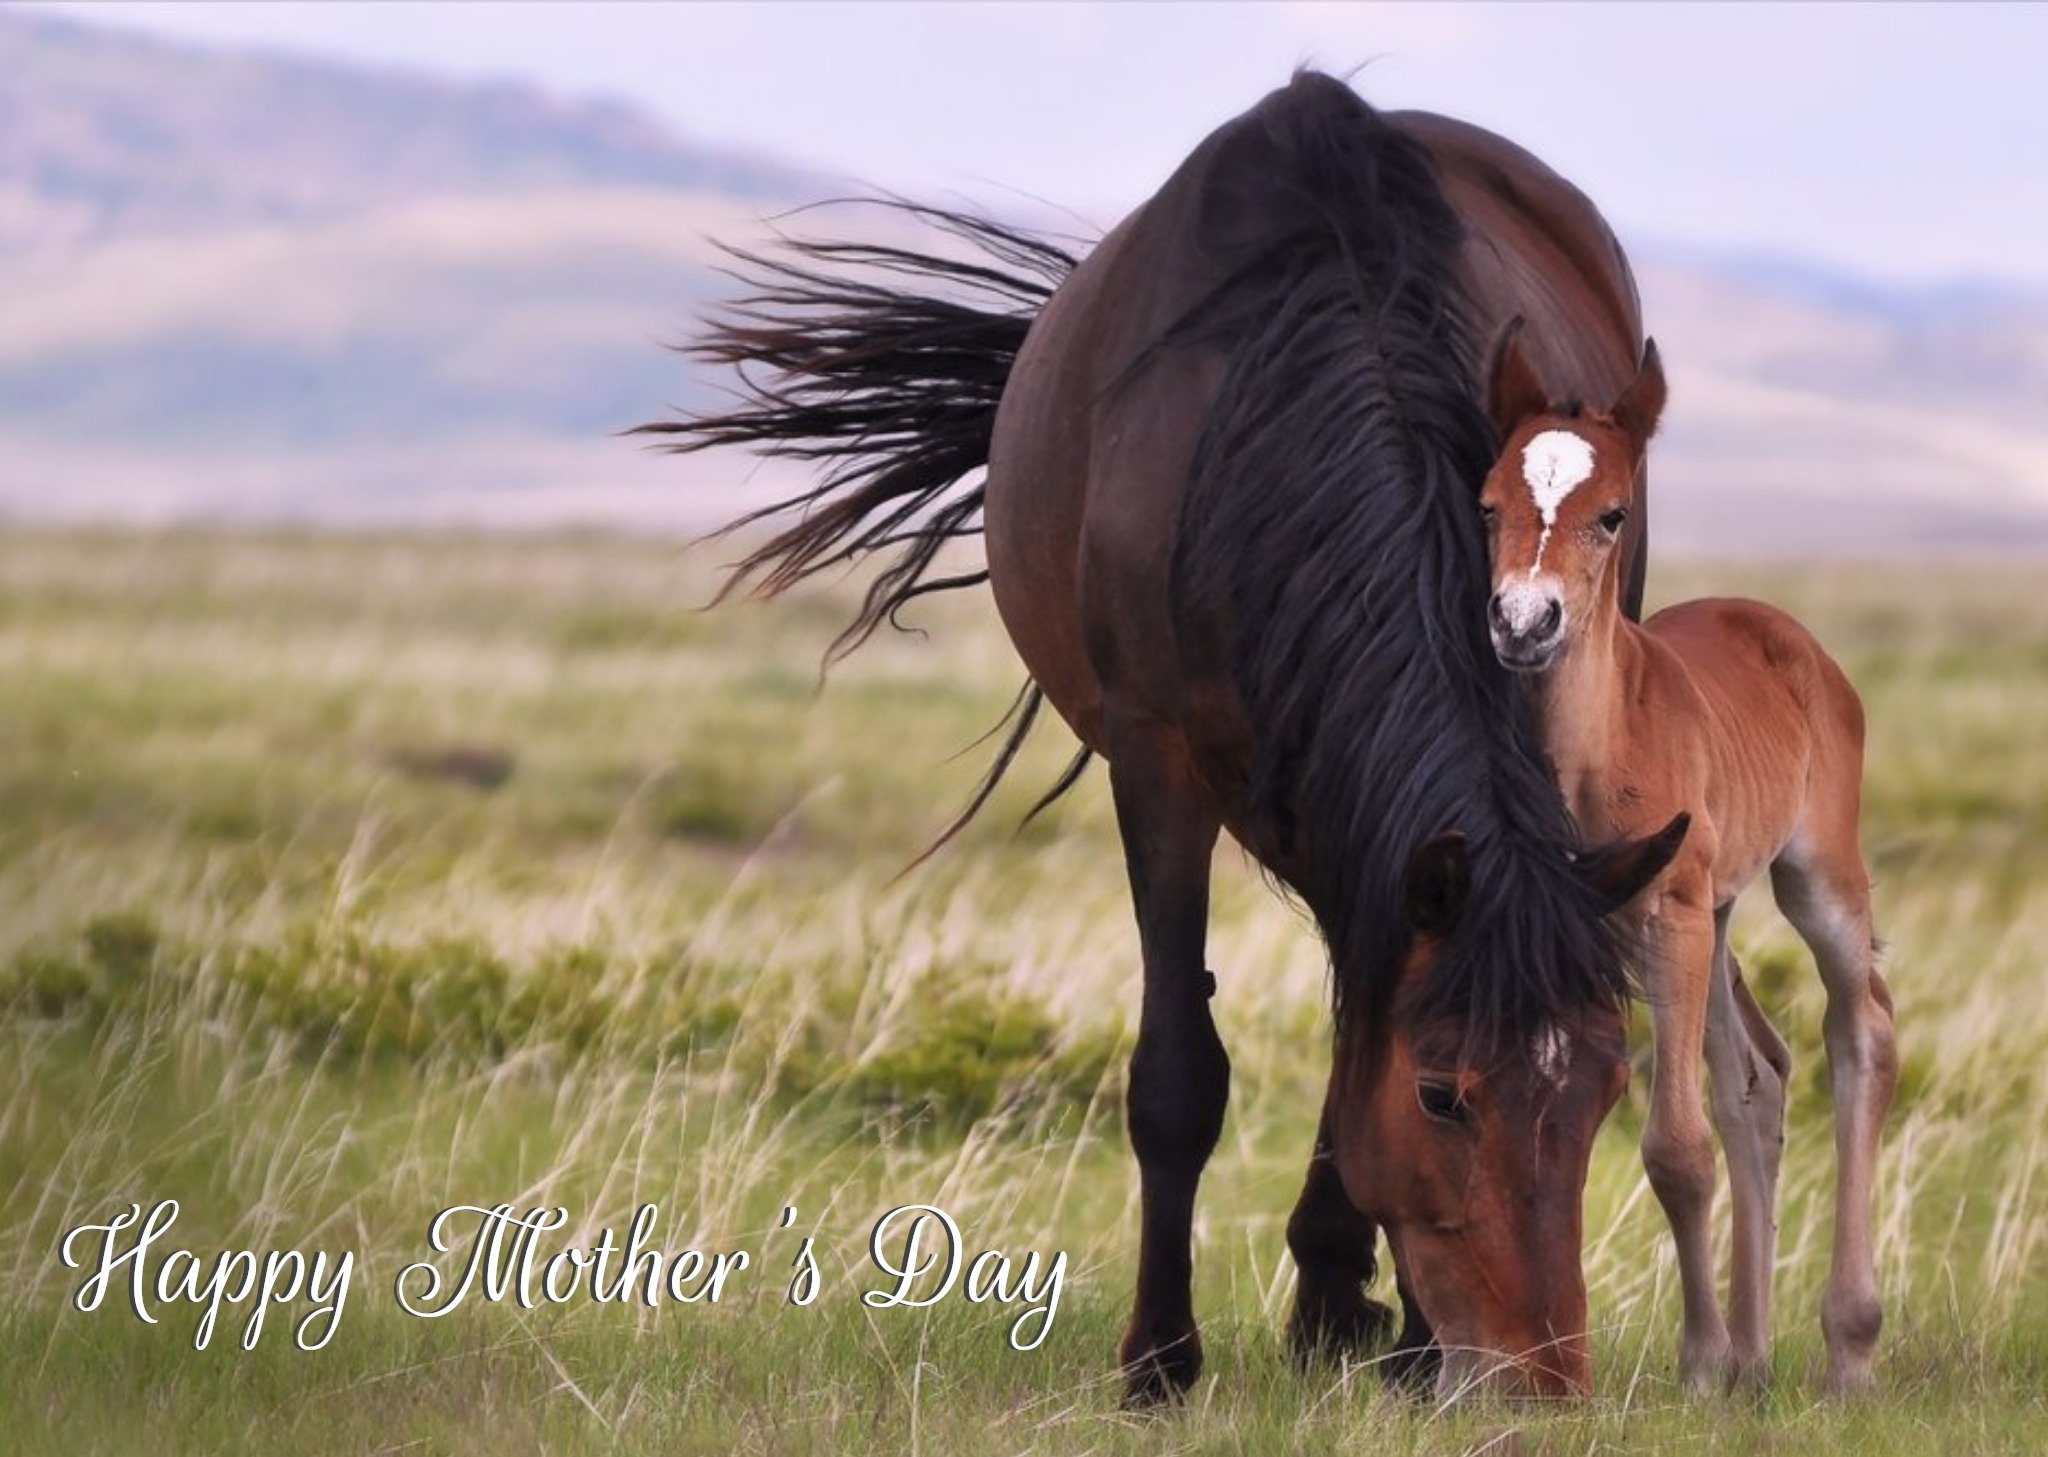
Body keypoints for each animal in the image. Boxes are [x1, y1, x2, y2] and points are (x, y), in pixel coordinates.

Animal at [1474, 325, 1900, 1393]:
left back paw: (1844, 1344)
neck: (1595, 742)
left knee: (1861, 1033)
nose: (1523, 622)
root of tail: (1785, 633)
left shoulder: (1665, 909)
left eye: (1613, 514)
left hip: (1812, 878)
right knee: (1757, 1072)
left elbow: (1673, 1144)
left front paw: (1699, 1364)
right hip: (1715, 910)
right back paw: (1754, 1352)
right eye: (1489, 503)